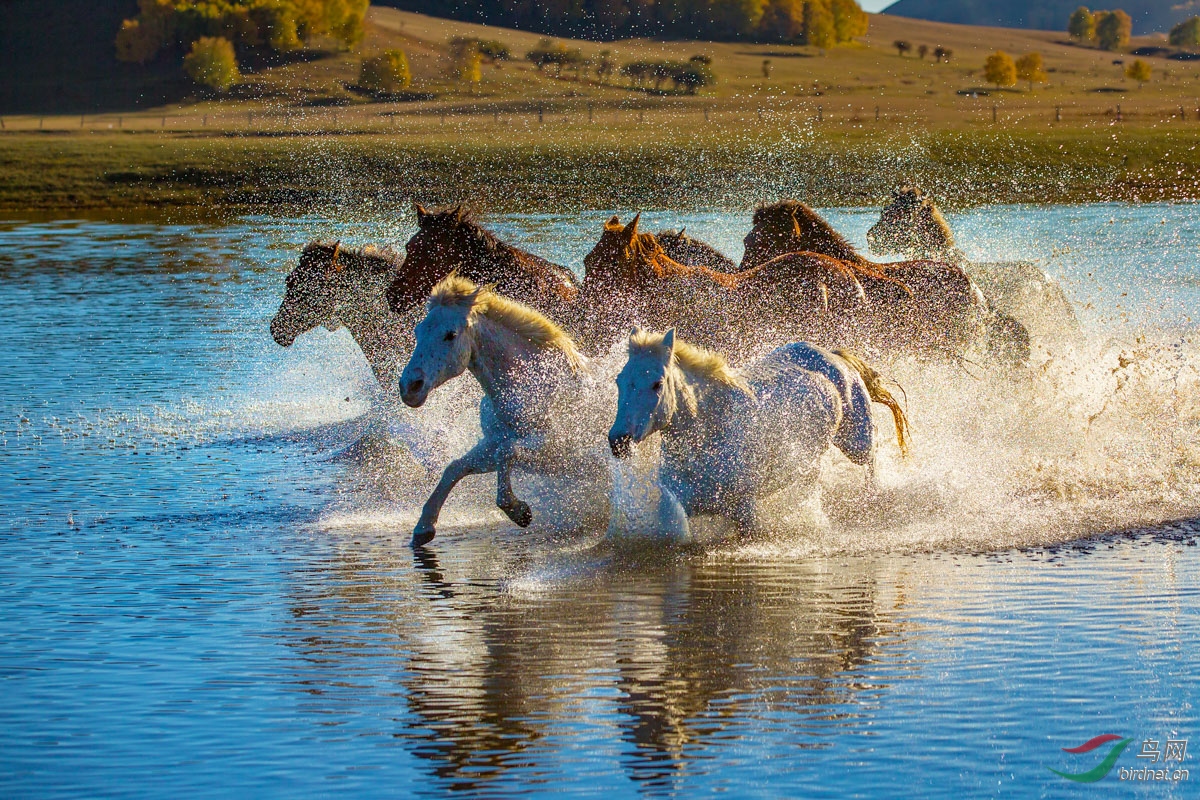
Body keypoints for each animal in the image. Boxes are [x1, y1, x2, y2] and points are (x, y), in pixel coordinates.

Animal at [400, 273, 609, 544]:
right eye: (418, 331)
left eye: (450, 334)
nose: (409, 387)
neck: (533, 387)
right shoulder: (493, 443)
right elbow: (455, 467)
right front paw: (424, 528)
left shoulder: (556, 449)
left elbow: (506, 453)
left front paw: (518, 511)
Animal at [609, 328, 907, 542]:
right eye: (619, 380)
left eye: (657, 384)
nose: (618, 442)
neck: (712, 429)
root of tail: (832, 355)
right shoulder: (678, 503)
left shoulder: (745, 511)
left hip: (855, 442)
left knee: (873, 451)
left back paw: (872, 496)